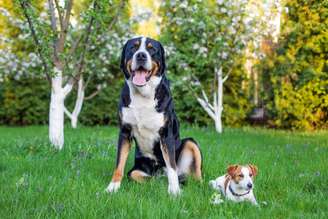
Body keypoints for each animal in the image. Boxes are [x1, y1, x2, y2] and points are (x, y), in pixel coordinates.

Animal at [105, 36, 202, 196]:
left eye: (152, 49)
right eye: (133, 47)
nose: (141, 55)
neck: (143, 95)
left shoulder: (166, 134)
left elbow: (172, 166)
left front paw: (174, 191)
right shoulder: (124, 132)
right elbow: (119, 164)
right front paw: (113, 187)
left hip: (190, 143)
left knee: (194, 175)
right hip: (139, 167)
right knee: (142, 176)